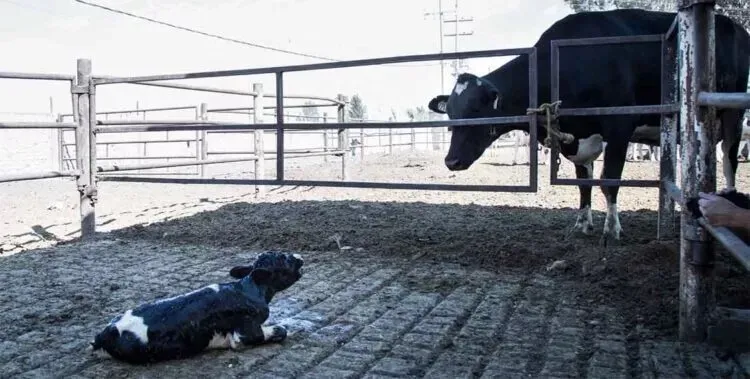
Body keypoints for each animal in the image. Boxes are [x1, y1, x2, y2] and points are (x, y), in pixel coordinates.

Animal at [91, 252, 306, 366]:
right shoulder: (245, 334)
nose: (300, 257)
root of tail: (106, 332)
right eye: (284, 258)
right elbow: (280, 330)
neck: (247, 289)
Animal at [428, 9, 750, 243]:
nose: (451, 161)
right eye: (451, 114)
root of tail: (734, 25)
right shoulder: (576, 138)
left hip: (733, 113)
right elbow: (584, 184)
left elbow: (609, 181)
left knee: (729, 158)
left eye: (475, 110)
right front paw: (582, 223)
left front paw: (613, 229)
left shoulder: (619, 128)